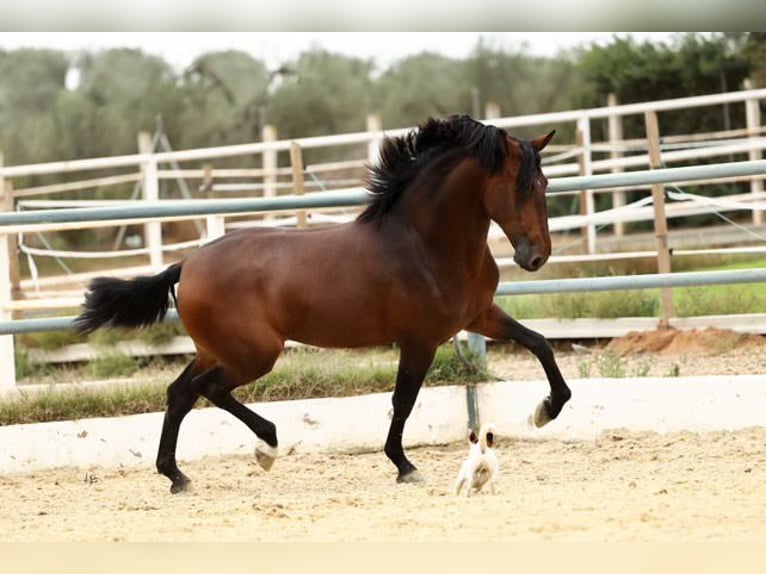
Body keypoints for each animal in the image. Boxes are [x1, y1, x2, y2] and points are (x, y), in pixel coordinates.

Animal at [76, 116, 568, 496]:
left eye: (545, 184)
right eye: (524, 186)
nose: (536, 257)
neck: (424, 244)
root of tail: (188, 264)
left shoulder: (480, 316)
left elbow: (540, 344)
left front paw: (545, 411)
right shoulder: (420, 340)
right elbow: (403, 401)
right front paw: (404, 466)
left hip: (216, 349)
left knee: (180, 392)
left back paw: (177, 476)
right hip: (254, 354)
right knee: (208, 390)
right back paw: (267, 446)